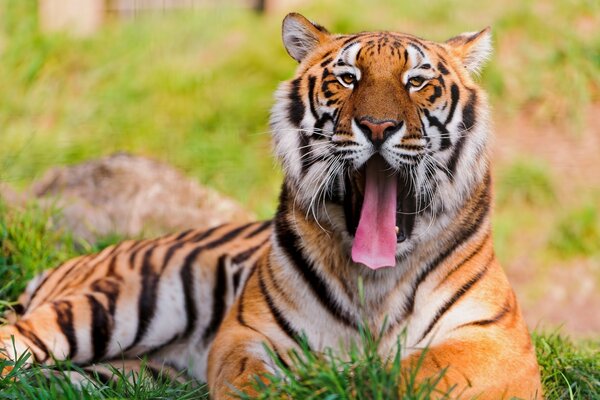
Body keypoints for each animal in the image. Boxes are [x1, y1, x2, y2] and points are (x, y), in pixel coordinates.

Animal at [1, 13, 544, 400]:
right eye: (348, 78)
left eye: (416, 82)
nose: (377, 126)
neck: (375, 281)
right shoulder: (245, 335)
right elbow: (257, 381)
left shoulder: (497, 342)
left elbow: (418, 369)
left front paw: (355, 379)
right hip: (114, 303)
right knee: (15, 341)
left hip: (123, 374)